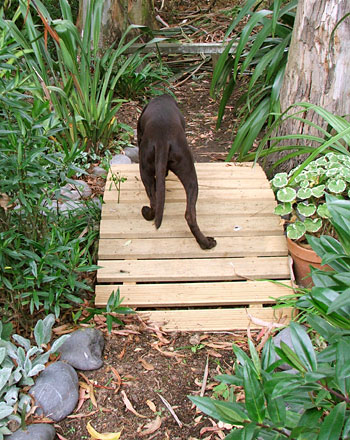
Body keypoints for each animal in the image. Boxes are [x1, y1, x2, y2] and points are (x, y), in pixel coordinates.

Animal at [137, 94, 216, 249]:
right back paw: (206, 243)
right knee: (189, 214)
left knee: (155, 203)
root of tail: (162, 139)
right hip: (188, 173)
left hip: (147, 170)